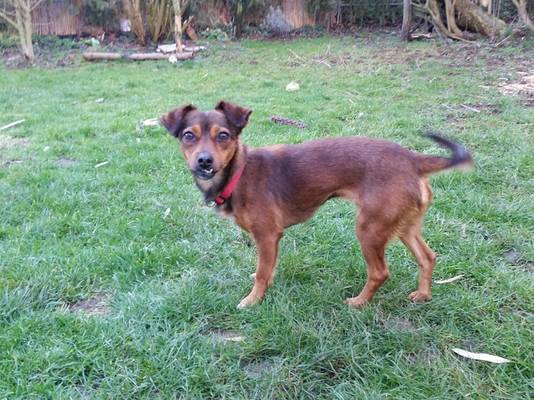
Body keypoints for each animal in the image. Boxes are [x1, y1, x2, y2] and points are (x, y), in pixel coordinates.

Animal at [161, 101, 473, 309]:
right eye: (188, 136)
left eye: (223, 135)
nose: (204, 161)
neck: (238, 172)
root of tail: (412, 159)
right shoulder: (271, 242)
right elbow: (268, 267)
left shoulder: (267, 236)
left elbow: (262, 272)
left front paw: (253, 299)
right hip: (403, 226)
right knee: (427, 257)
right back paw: (423, 295)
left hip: (370, 229)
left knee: (380, 272)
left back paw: (359, 303)